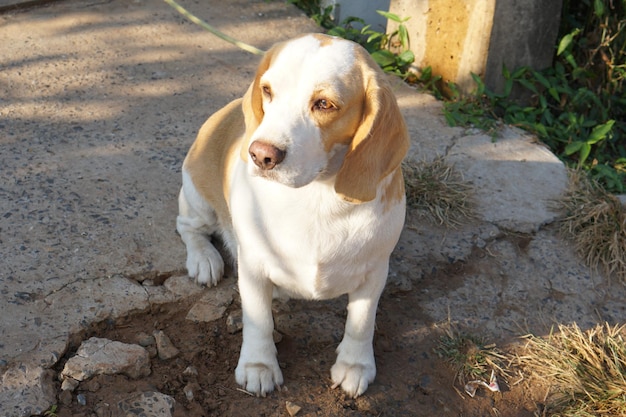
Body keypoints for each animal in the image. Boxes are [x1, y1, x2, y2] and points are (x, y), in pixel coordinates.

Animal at [176, 33, 410, 396]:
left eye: (324, 104)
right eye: (268, 90)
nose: (260, 154)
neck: (317, 196)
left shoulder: (375, 270)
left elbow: (362, 322)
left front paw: (355, 365)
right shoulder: (253, 267)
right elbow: (258, 320)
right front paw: (258, 366)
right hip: (197, 197)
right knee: (188, 226)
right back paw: (204, 259)